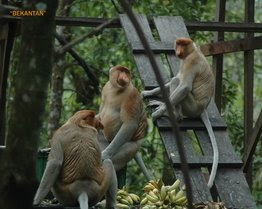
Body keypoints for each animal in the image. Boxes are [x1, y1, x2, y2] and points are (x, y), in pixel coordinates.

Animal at [142, 38, 218, 189]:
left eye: (183, 44)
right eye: (178, 44)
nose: (178, 50)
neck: (192, 51)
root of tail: (203, 108)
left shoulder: (191, 61)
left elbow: (184, 86)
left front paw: (159, 111)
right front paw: (148, 92)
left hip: (192, 107)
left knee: (177, 82)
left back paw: (173, 115)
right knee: (175, 80)